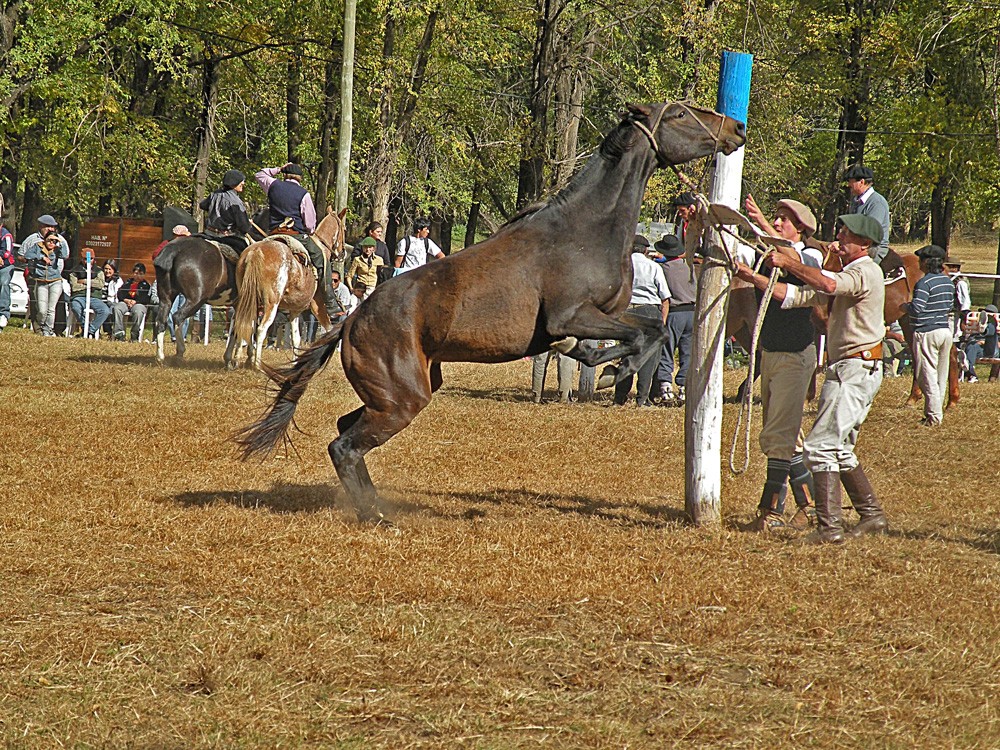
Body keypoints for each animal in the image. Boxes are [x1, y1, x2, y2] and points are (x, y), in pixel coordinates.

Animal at [238, 101, 748, 524]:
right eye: (679, 113)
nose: (735, 128)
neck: (585, 229)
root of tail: (350, 323)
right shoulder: (573, 315)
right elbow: (649, 332)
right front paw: (613, 373)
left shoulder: (594, 319)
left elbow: (632, 335)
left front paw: (602, 367)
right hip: (402, 400)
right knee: (343, 445)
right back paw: (375, 516)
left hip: (401, 392)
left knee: (347, 431)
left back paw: (375, 506)